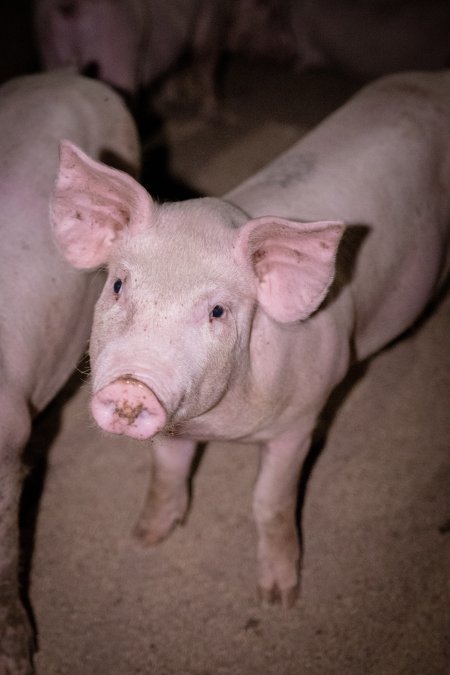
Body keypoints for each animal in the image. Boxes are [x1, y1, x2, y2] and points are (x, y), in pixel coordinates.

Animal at [51, 70, 450, 608]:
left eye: (218, 310)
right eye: (117, 285)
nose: (132, 384)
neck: (219, 430)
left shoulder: (302, 419)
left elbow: (268, 501)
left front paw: (278, 599)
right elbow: (167, 470)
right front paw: (144, 538)